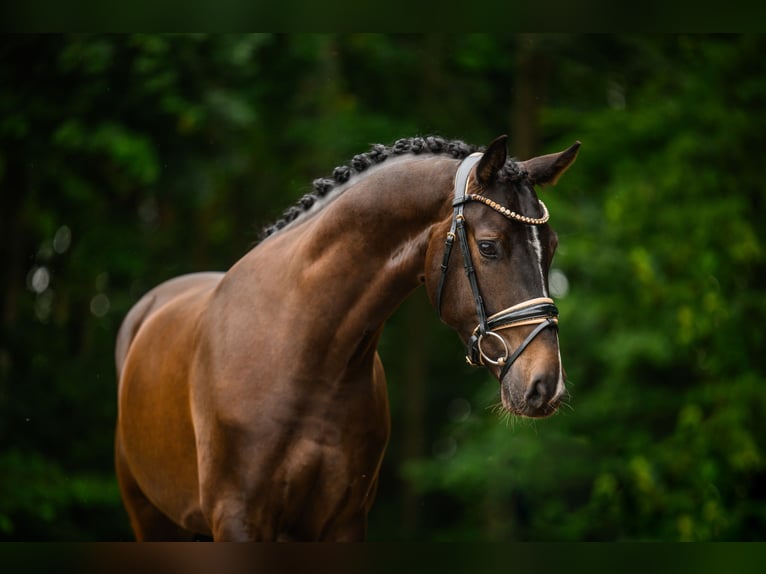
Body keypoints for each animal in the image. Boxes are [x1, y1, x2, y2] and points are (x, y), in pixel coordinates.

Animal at [114, 133, 584, 544]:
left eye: (552, 247)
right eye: (488, 247)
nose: (545, 384)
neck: (306, 353)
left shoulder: (343, 520)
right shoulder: (238, 518)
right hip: (150, 517)